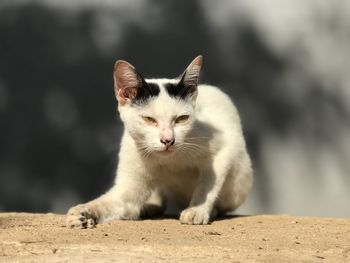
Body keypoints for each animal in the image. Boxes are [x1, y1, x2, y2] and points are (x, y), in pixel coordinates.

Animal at [66, 55, 252, 229]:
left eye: (181, 119)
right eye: (149, 119)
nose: (168, 140)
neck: (170, 162)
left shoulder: (224, 149)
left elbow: (208, 185)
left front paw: (197, 209)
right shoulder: (127, 183)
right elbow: (108, 201)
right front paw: (82, 213)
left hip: (238, 181)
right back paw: (145, 207)